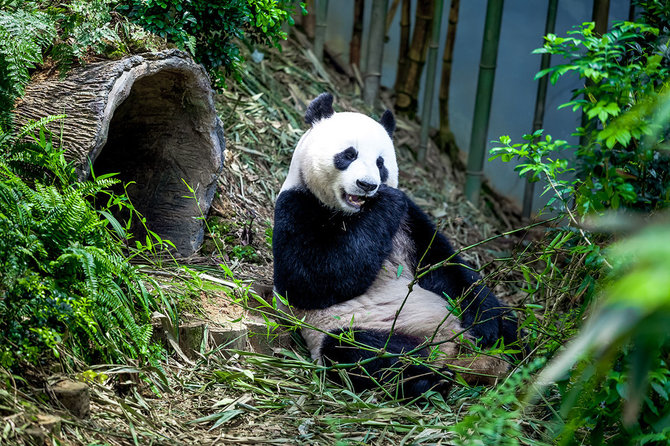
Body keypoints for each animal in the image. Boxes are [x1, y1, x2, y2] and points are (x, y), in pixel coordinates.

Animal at [272, 93, 520, 398]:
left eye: (380, 163)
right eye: (349, 154)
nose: (367, 185)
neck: (354, 213)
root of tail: (449, 347)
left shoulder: (408, 219)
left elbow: (443, 264)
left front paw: (485, 326)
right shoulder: (297, 206)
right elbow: (310, 280)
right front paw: (386, 201)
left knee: (510, 321)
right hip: (349, 327)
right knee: (359, 352)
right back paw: (430, 377)